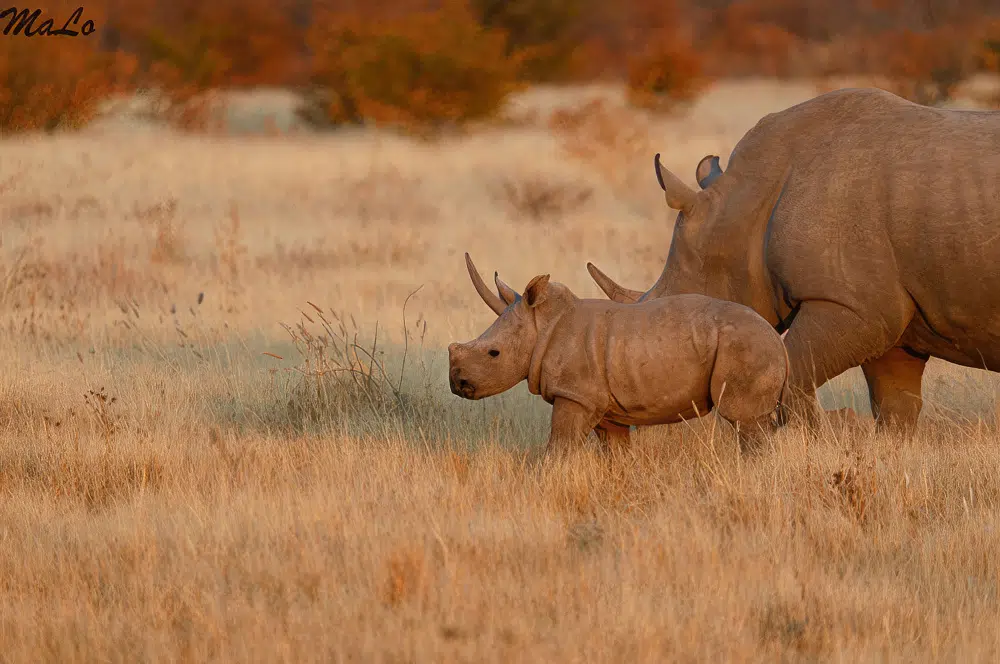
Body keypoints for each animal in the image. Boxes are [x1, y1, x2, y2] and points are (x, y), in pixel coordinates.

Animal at [448, 253, 790, 453]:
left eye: (494, 353)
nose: (457, 384)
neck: (543, 324)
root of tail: (778, 340)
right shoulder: (603, 405)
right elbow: (615, 453)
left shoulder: (575, 395)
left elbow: (559, 448)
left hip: (745, 346)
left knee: (746, 423)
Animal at [586, 87, 1000, 434]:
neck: (744, 207)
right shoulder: (893, 320)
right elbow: (894, 405)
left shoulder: (853, 307)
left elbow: (794, 371)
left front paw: (811, 437)